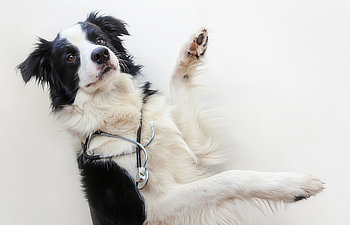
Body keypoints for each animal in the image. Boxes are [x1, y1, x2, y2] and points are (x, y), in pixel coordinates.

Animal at [18, 12, 326, 225]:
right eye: (70, 57)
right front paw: (293, 185)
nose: (101, 54)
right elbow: (227, 178)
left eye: (100, 40)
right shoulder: (153, 208)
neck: (115, 108)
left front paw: (190, 52)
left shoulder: (192, 148)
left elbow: (179, 89)